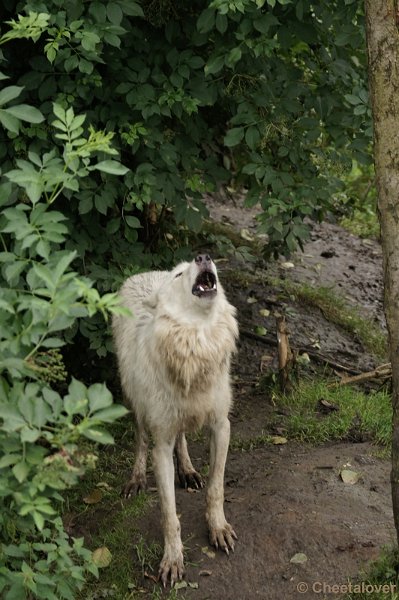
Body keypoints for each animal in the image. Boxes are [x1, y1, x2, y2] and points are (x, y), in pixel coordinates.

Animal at [111, 254, 239, 584]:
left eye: (196, 263)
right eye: (179, 275)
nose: (203, 256)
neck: (197, 340)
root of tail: (145, 273)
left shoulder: (221, 426)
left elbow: (216, 488)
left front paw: (218, 529)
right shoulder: (161, 445)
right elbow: (169, 513)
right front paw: (172, 559)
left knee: (183, 437)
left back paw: (189, 470)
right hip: (136, 401)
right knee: (140, 438)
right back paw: (136, 479)